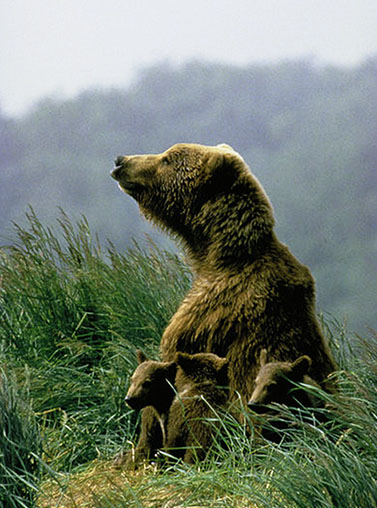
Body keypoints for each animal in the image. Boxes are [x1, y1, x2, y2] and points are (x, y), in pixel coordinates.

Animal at [110, 142, 336, 464]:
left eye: (167, 159)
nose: (121, 160)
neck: (214, 257)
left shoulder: (208, 313)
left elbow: (170, 367)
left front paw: (135, 450)